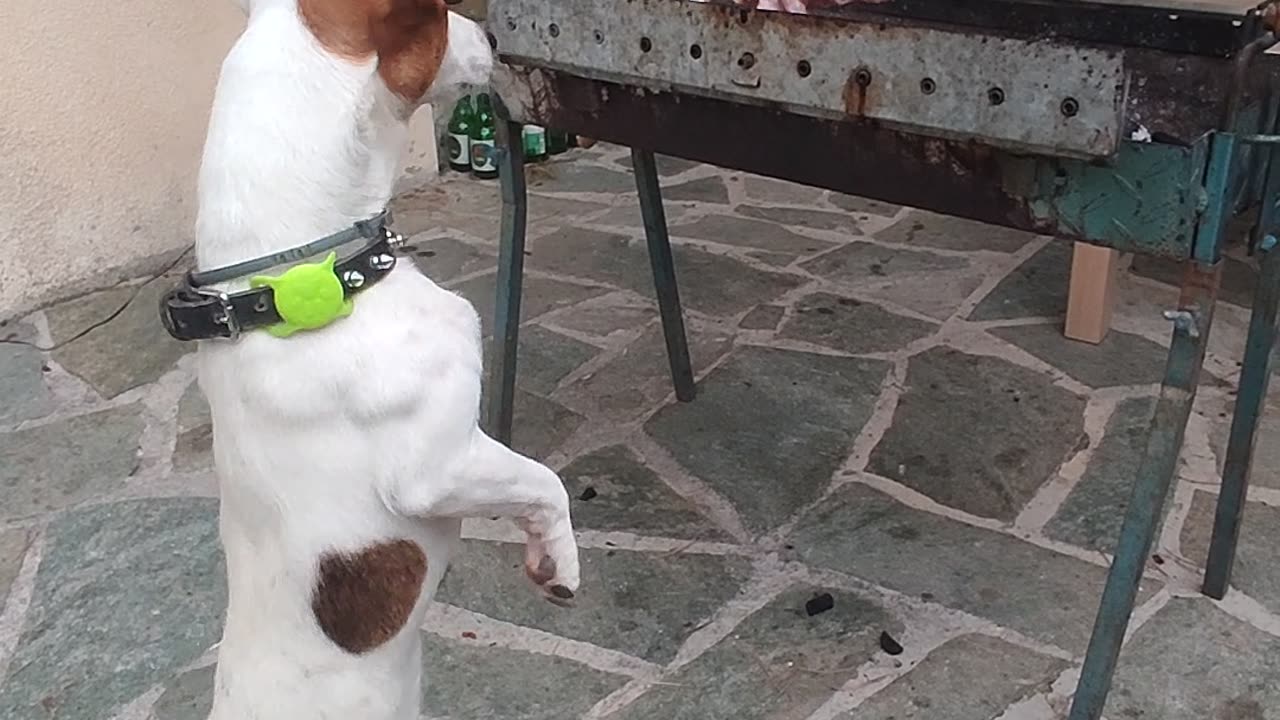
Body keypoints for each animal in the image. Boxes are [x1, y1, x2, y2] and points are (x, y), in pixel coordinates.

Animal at [184, 2, 581, 712]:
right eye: (442, 15)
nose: (494, 37)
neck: (296, 282)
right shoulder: (437, 470)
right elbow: (544, 480)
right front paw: (558, 560)